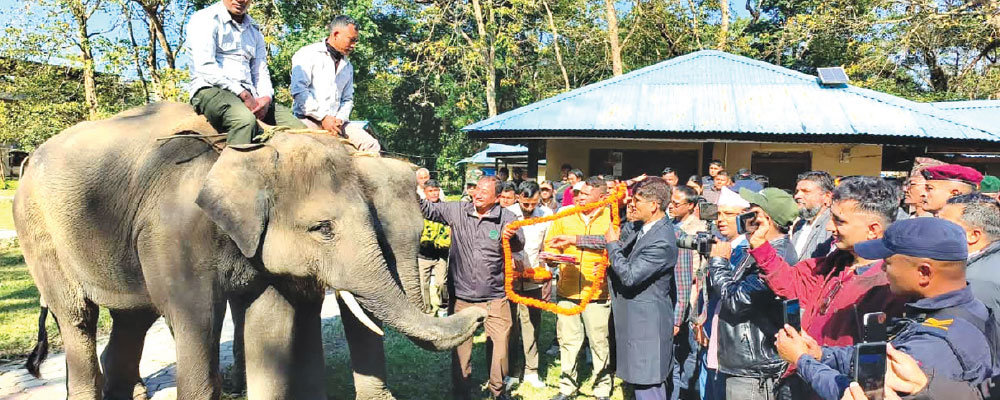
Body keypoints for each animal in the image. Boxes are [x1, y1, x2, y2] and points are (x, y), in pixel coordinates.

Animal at [14, 102, 485, 400]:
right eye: (323, 229)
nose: (478, 315)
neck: (260, 151)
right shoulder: (174, 231)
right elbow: (199, 319)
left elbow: (271, 324)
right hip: (40, 233)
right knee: (78, 317)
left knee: (133, 319)